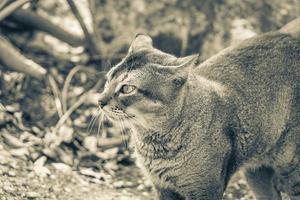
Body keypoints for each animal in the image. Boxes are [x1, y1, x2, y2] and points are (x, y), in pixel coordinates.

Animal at [98, 17, 300, 200]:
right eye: (108, 79)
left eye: (127, 88)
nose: (99, 101)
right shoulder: (163, 188)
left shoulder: (205, 189)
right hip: (255, 173)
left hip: (292, 171)